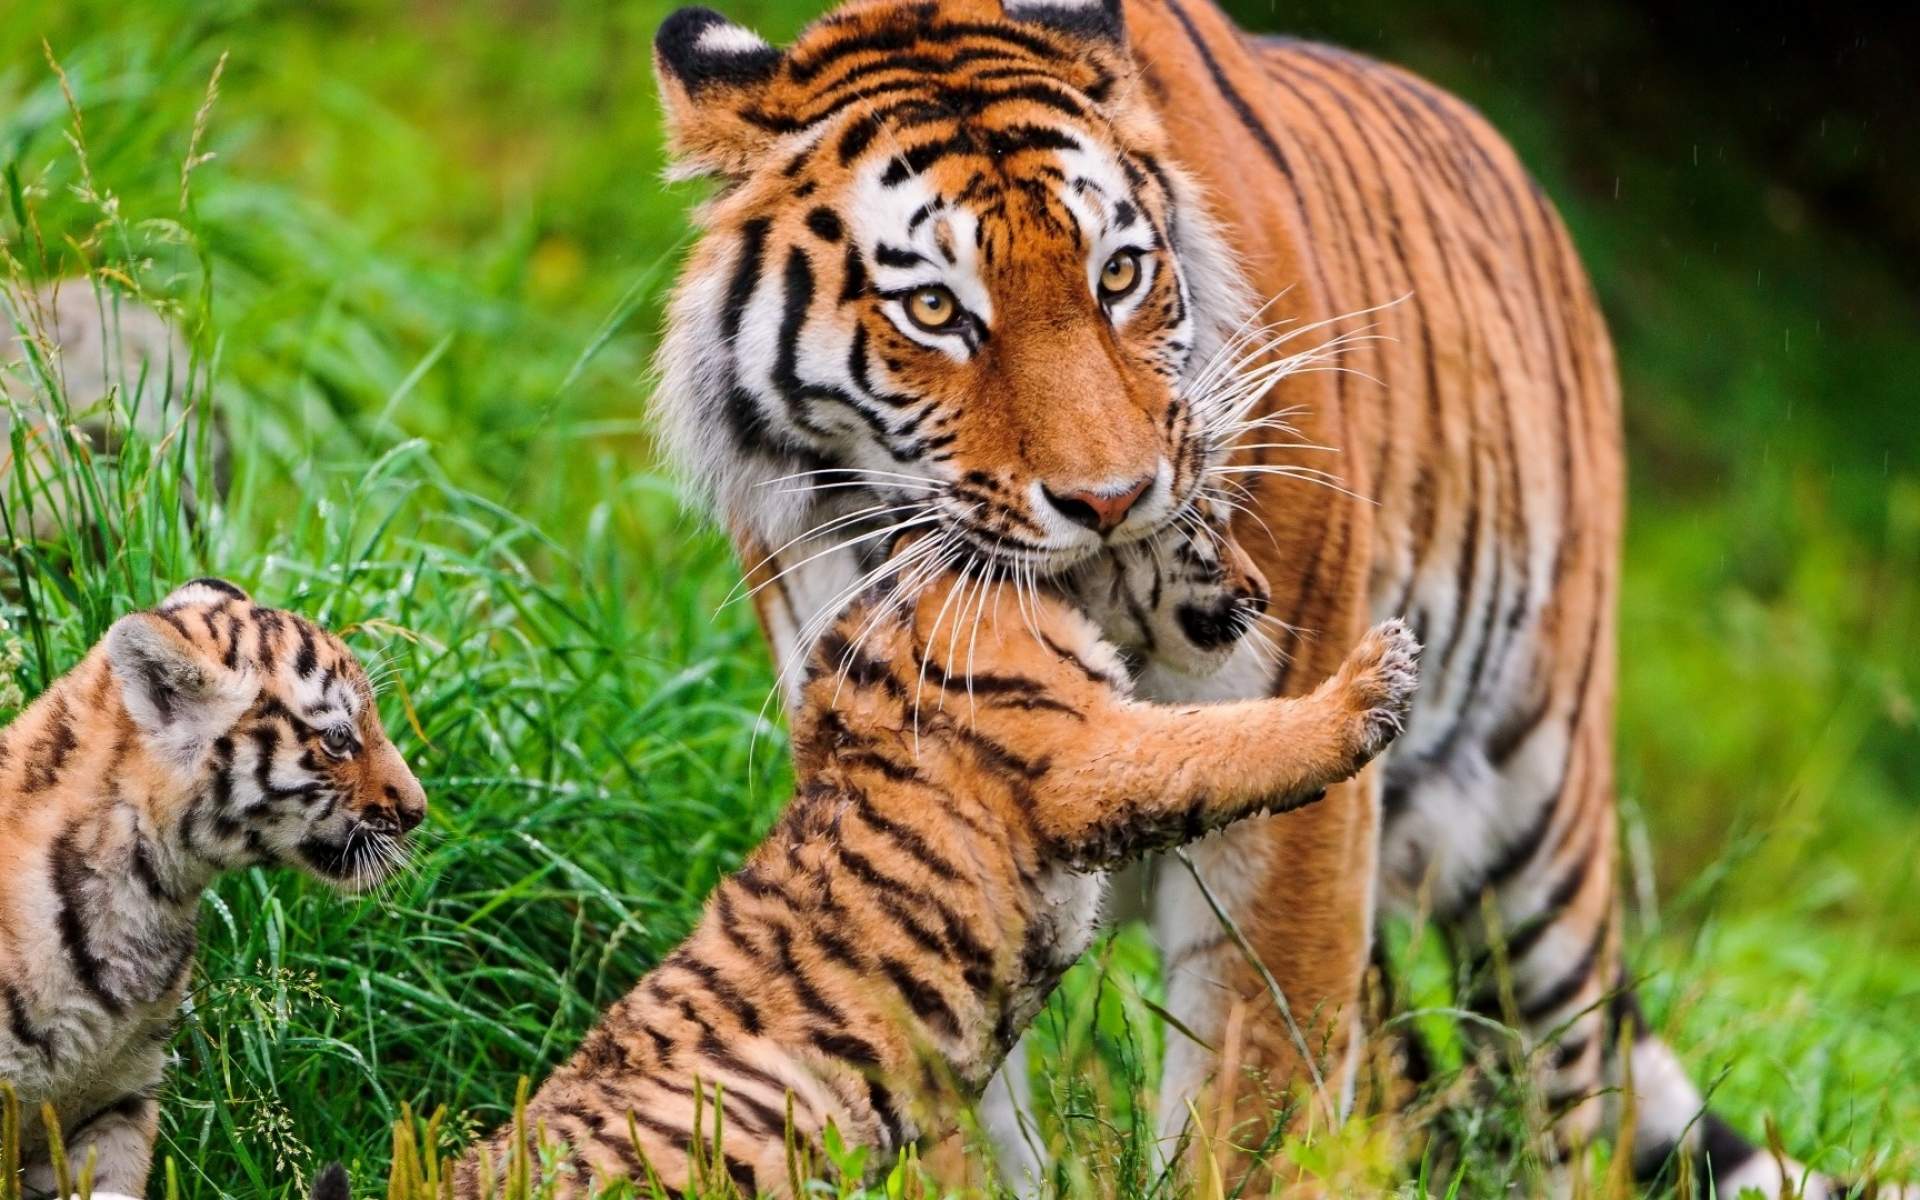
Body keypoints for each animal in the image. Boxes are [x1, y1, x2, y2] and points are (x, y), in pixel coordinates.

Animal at [442, 543, 1417, 1198]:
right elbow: (1229, 741)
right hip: (762, 1108)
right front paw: (1372, 684)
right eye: (1203, 519)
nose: (1261, 591)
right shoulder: (1087, 754)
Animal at [645, 0, 1903, 1193]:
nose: (1111, 499)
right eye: (938, 312)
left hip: (1540, 831)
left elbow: (1252, 1107)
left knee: (1559, 1104)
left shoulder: (1292, 813)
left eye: (1117, 275)